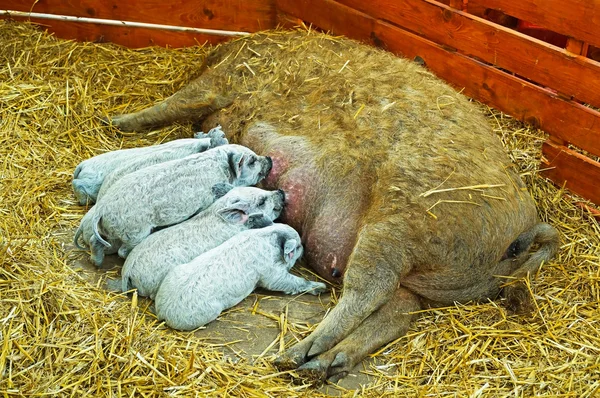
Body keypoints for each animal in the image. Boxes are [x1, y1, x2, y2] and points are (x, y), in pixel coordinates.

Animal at [106, 30, 556, 382]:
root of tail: (521, 234)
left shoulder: (224, 81)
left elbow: (173, 103)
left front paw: (119, 121)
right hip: (412, 266)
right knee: (398, 311)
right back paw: (320, 366)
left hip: (402, 218)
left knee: (367, 290)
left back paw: (292, 358)